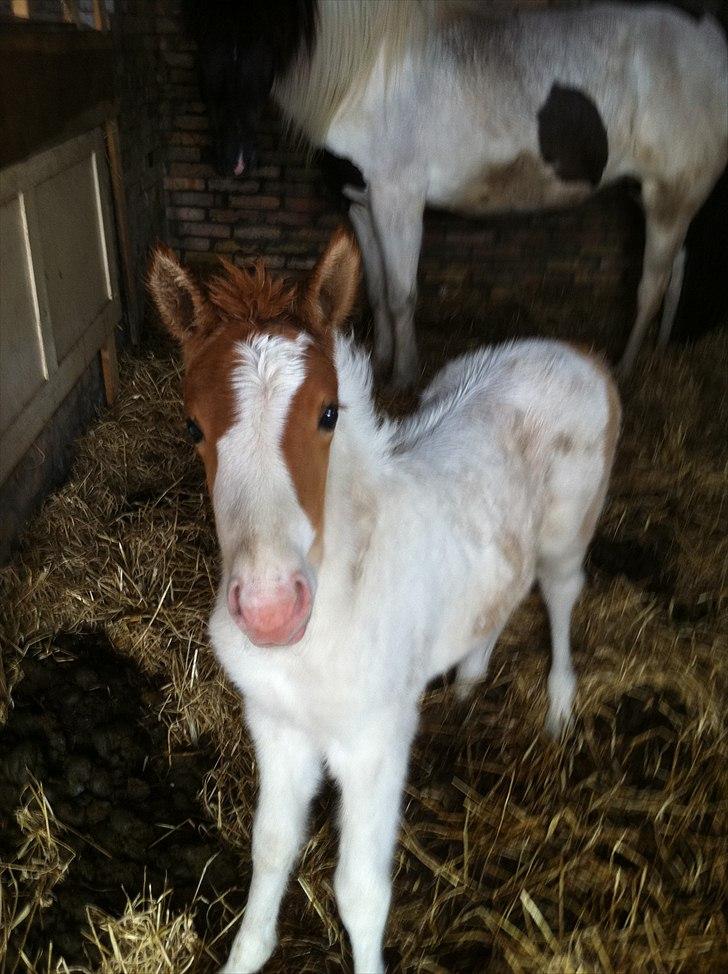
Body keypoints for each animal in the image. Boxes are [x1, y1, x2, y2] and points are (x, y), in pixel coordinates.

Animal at [148, 233, 620, 972]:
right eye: (193, 426)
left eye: (328, 413)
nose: (270, 610)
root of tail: (576, 352)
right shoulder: (275, 728)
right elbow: (270, 849)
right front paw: (245, 956)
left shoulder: (376, 740)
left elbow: (360, 892)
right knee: (504, 591)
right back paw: (468, 680)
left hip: (568, 533)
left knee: (562, 596)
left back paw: (558, 711)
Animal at [192, 2, 728, 386]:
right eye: (201, 26)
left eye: (268, 27)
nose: (232, 158)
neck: (364, 77)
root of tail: (712, 39)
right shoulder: (362, 203)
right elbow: (377, 289)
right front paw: (380, 362)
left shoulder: (398, 198)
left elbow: (401, 292)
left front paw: (403, 377)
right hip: (656, 196)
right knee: (677, 269)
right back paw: (661, 348)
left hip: (670, 195)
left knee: (652, 283)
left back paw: (625, 369)